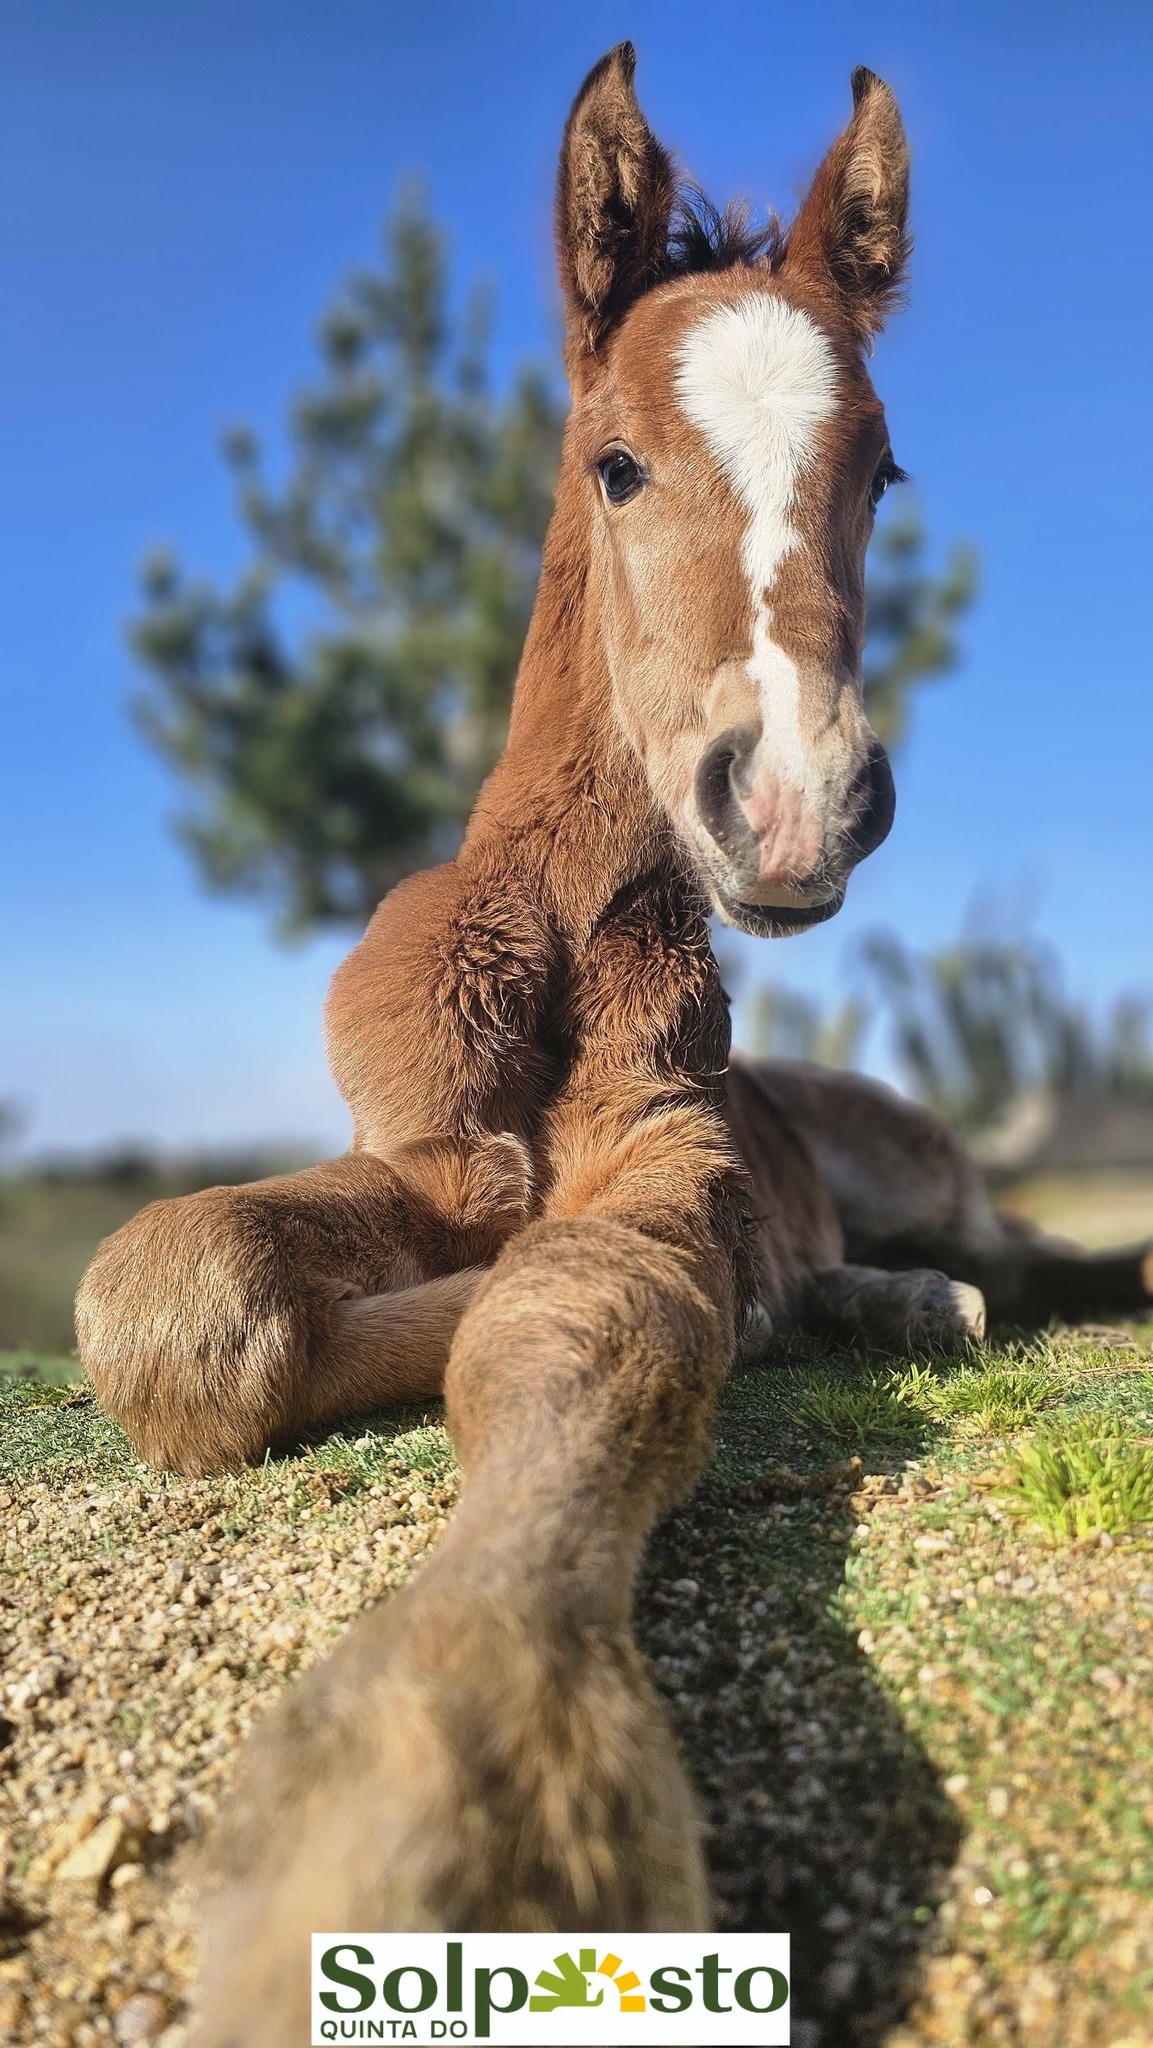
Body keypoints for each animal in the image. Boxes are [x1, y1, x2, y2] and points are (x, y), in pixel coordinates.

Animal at [75, 46, 1150, 2038]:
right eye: (616, 460)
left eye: (880, 467)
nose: (796, 803)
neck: (565, 954)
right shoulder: (417, 1163)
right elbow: (183, 1296)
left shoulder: (667, 1158)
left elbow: (576, 1316)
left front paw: (454, 1786)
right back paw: (873, 1304)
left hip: (917, 1156)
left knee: (1030, 1248)